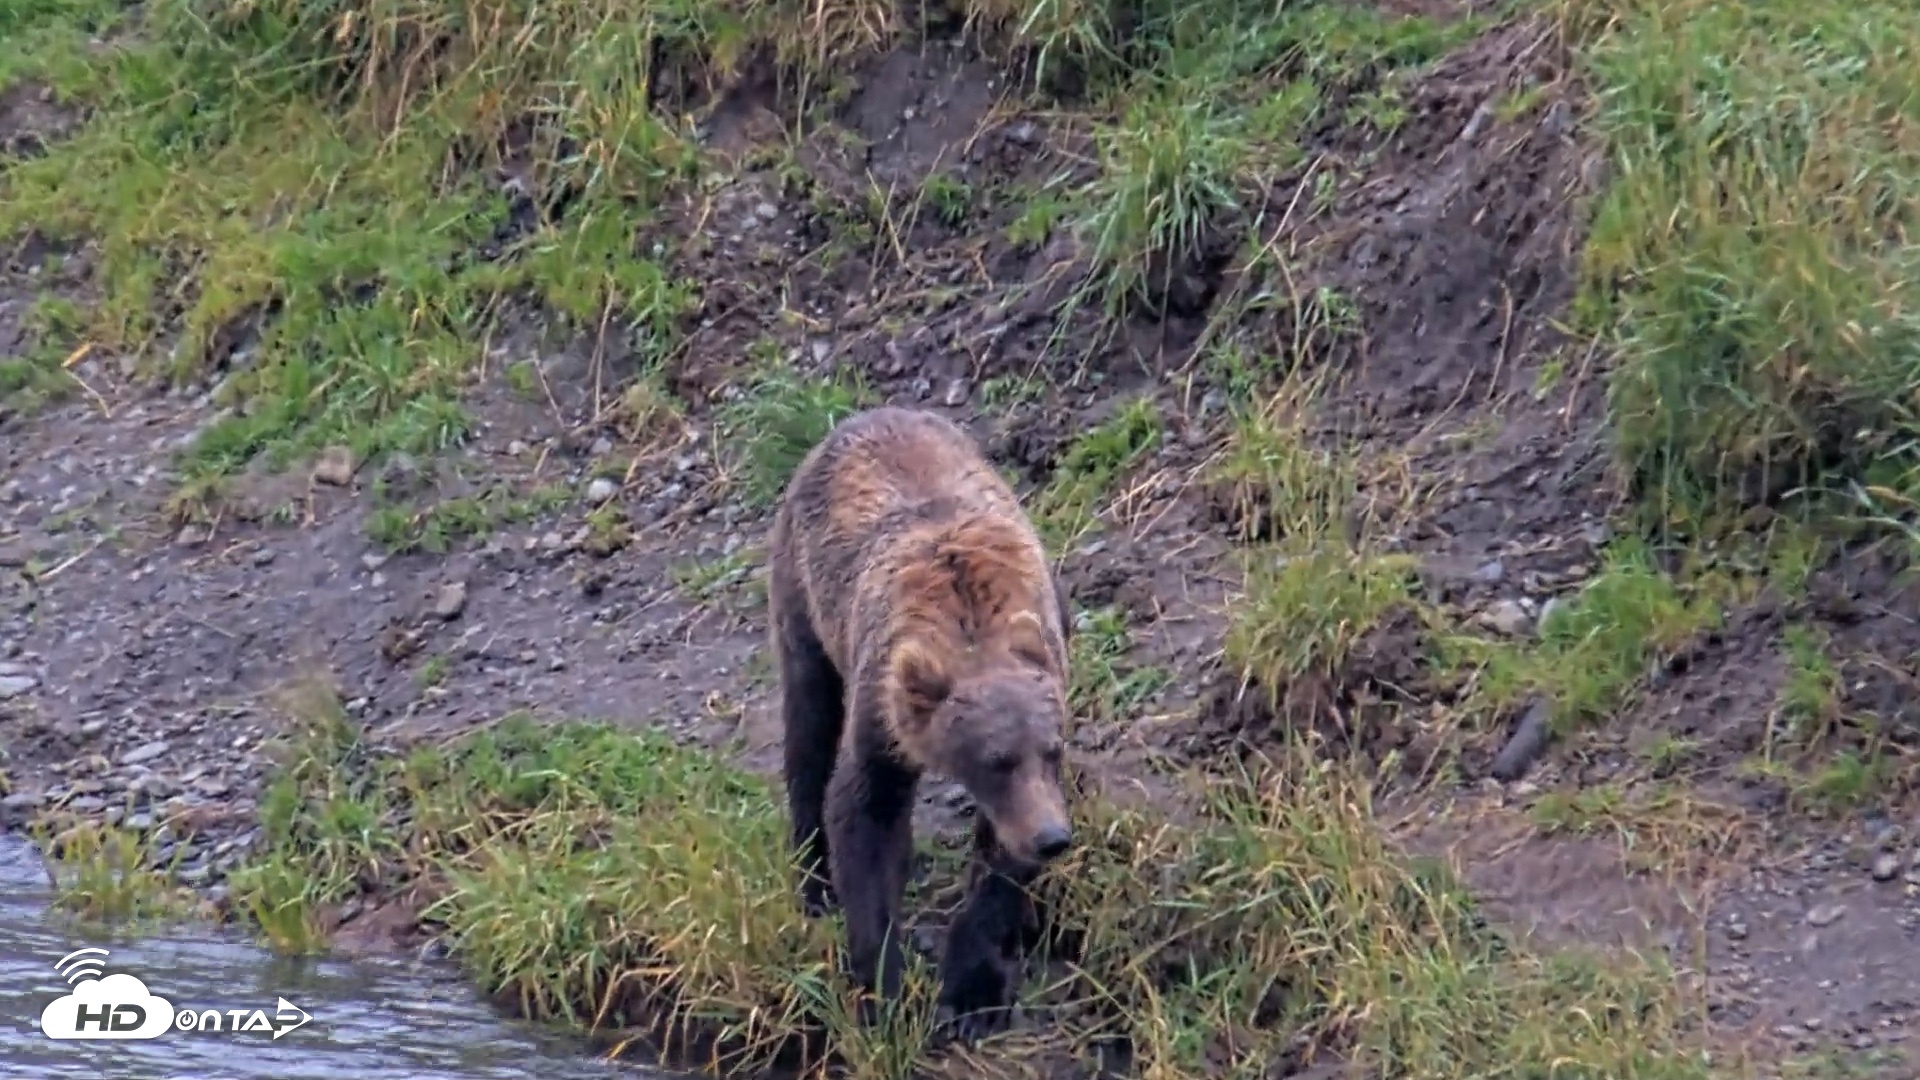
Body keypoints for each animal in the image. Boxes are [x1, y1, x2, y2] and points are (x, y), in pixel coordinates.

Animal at [765, 405, 1076, 1040]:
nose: (1053, 838)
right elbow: (865, 811)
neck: (973, 633)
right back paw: (814, 882)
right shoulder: (883, 709)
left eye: (1053, 750)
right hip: (803, 596)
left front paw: (973, 995)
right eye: (996, 759)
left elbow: (998, 860)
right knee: (808, 726)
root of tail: (860, 416)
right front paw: (882, 988)